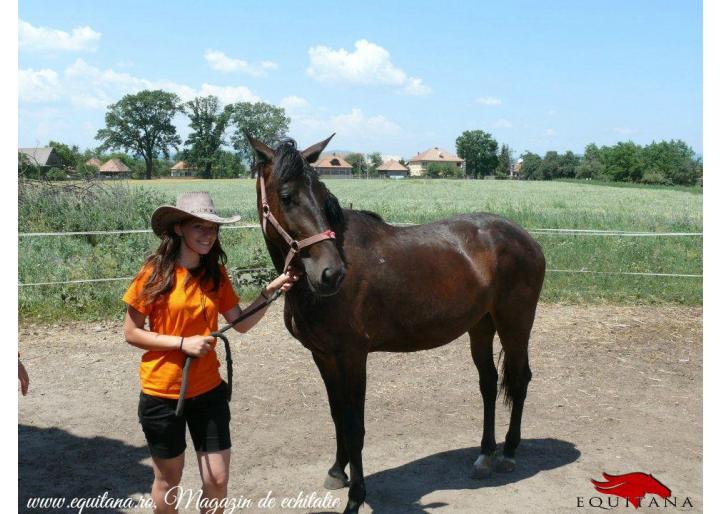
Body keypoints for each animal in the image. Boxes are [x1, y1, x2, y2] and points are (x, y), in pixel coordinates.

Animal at [248, 133, 544, 512]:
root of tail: (526, 238)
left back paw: (508, 452)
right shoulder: (323, 356)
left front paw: (356, 497)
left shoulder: (353, 356)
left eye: (323, 193)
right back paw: (485, 456)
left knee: (519, 380)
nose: (331, 273)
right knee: (489, 383)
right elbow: (337, 415)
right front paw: (337, 471)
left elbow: (355, 424)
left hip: (514, 323)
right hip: (481, 325)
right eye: (286, 196)